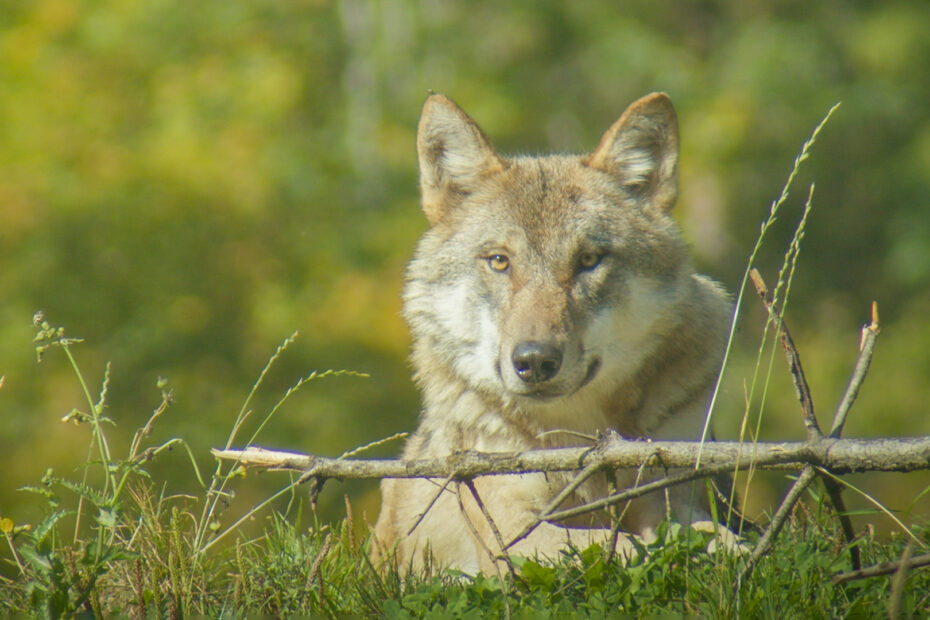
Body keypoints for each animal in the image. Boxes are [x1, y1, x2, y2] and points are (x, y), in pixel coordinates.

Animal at [372, 92, 734, 575]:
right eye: (500, 261)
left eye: (588, 261)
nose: (535, 361)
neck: (573, 435)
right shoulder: (510, 526)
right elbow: (613, 545)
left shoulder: (669, 492)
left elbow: (711, 535)